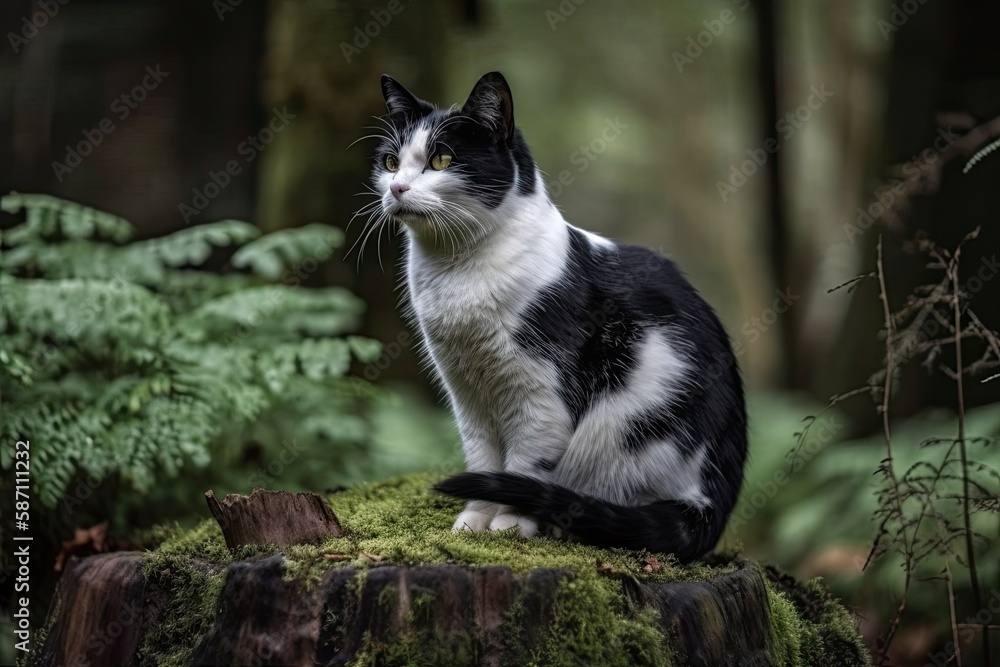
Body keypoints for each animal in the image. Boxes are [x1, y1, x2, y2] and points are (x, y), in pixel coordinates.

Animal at [364, 72, 748, 564]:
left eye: (441, 159)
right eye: (391, 162)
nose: (396, 188)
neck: (456, 270)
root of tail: (711, 511)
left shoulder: (542, 395)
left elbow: (527, 466)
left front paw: (509, 525)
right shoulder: (465, 393)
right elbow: (483, 459)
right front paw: (474, 520)